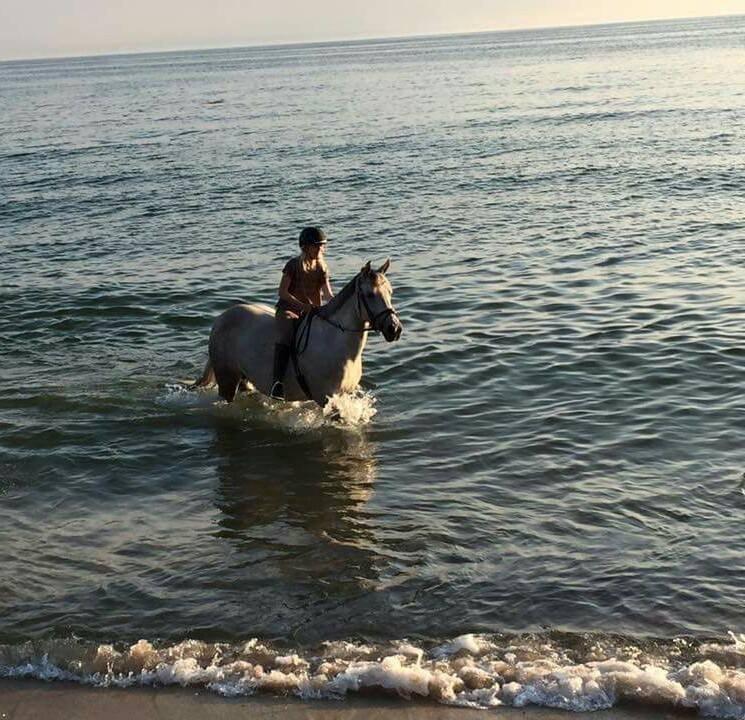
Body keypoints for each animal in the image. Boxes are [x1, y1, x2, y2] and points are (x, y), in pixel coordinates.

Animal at [192, 258, 402, 404]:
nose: (395, 329)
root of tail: (221, 319)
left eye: (391, 292)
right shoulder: (326, 397)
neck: (336, 342)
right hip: (227, 380)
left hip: (244, 378)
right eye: (370, 295)